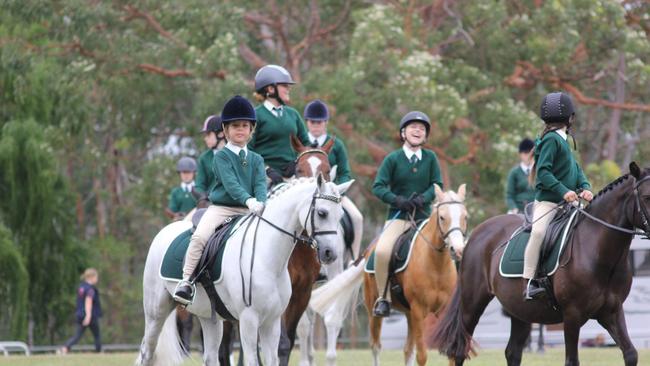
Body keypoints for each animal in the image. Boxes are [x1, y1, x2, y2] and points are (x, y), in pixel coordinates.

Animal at [134, 176, 352, 364]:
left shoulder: (272, 321)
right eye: (322, 213)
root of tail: (165, 231)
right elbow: (252, 359)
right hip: (156, 312)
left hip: (209, 318)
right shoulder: (249, 319)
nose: (331, 253)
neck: (268, 258)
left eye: (341, 215)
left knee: (210, 356)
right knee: (147, 352)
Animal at [308, 186, 466, 366]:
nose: (457, 249)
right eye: (442, 217)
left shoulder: (441, 311)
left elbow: (450, 355)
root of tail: (369, 251)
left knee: (407, 350)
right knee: (376, 347)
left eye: (465, 216)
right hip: (375, 310)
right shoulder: (419, 311)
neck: (436, 266)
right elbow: (422, 356)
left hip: (409, 314)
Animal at [430, 163, 648, 366]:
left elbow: (631, 354)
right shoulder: (572, 315)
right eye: (646, 197)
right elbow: (572, 360)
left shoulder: (612, 312)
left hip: (519, 310)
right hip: (472, 305)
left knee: (513, 352)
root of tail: (476, 233)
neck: (597, 252)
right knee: (460, 350)